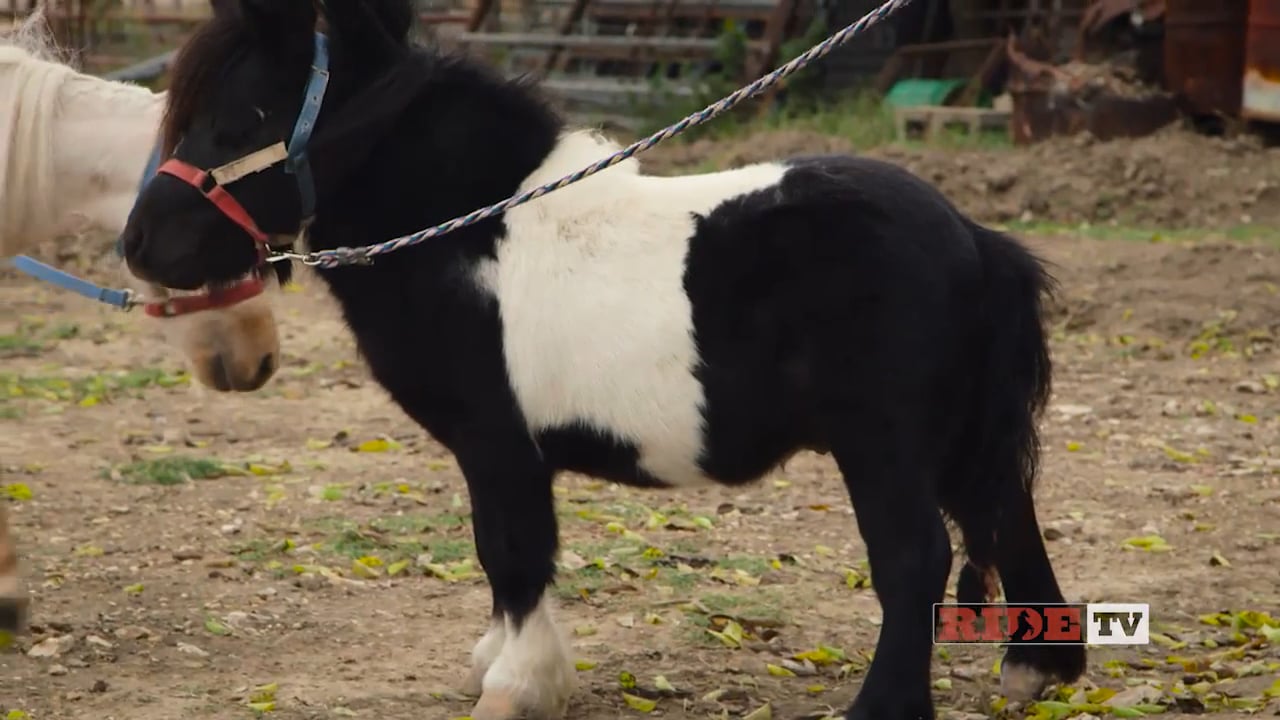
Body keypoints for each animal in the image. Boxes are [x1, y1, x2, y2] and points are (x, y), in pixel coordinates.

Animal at [116, 1, 1087, 718]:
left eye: (246, 113)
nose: (140, 245)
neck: (473, 235)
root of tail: (973, 237)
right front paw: (496, 664)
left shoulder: (499, 446)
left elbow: (511, 555)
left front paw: (517, 685)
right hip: (953, 439)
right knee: (1007, 514)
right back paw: (1039, 669)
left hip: (882, 446)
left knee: (916, 556)